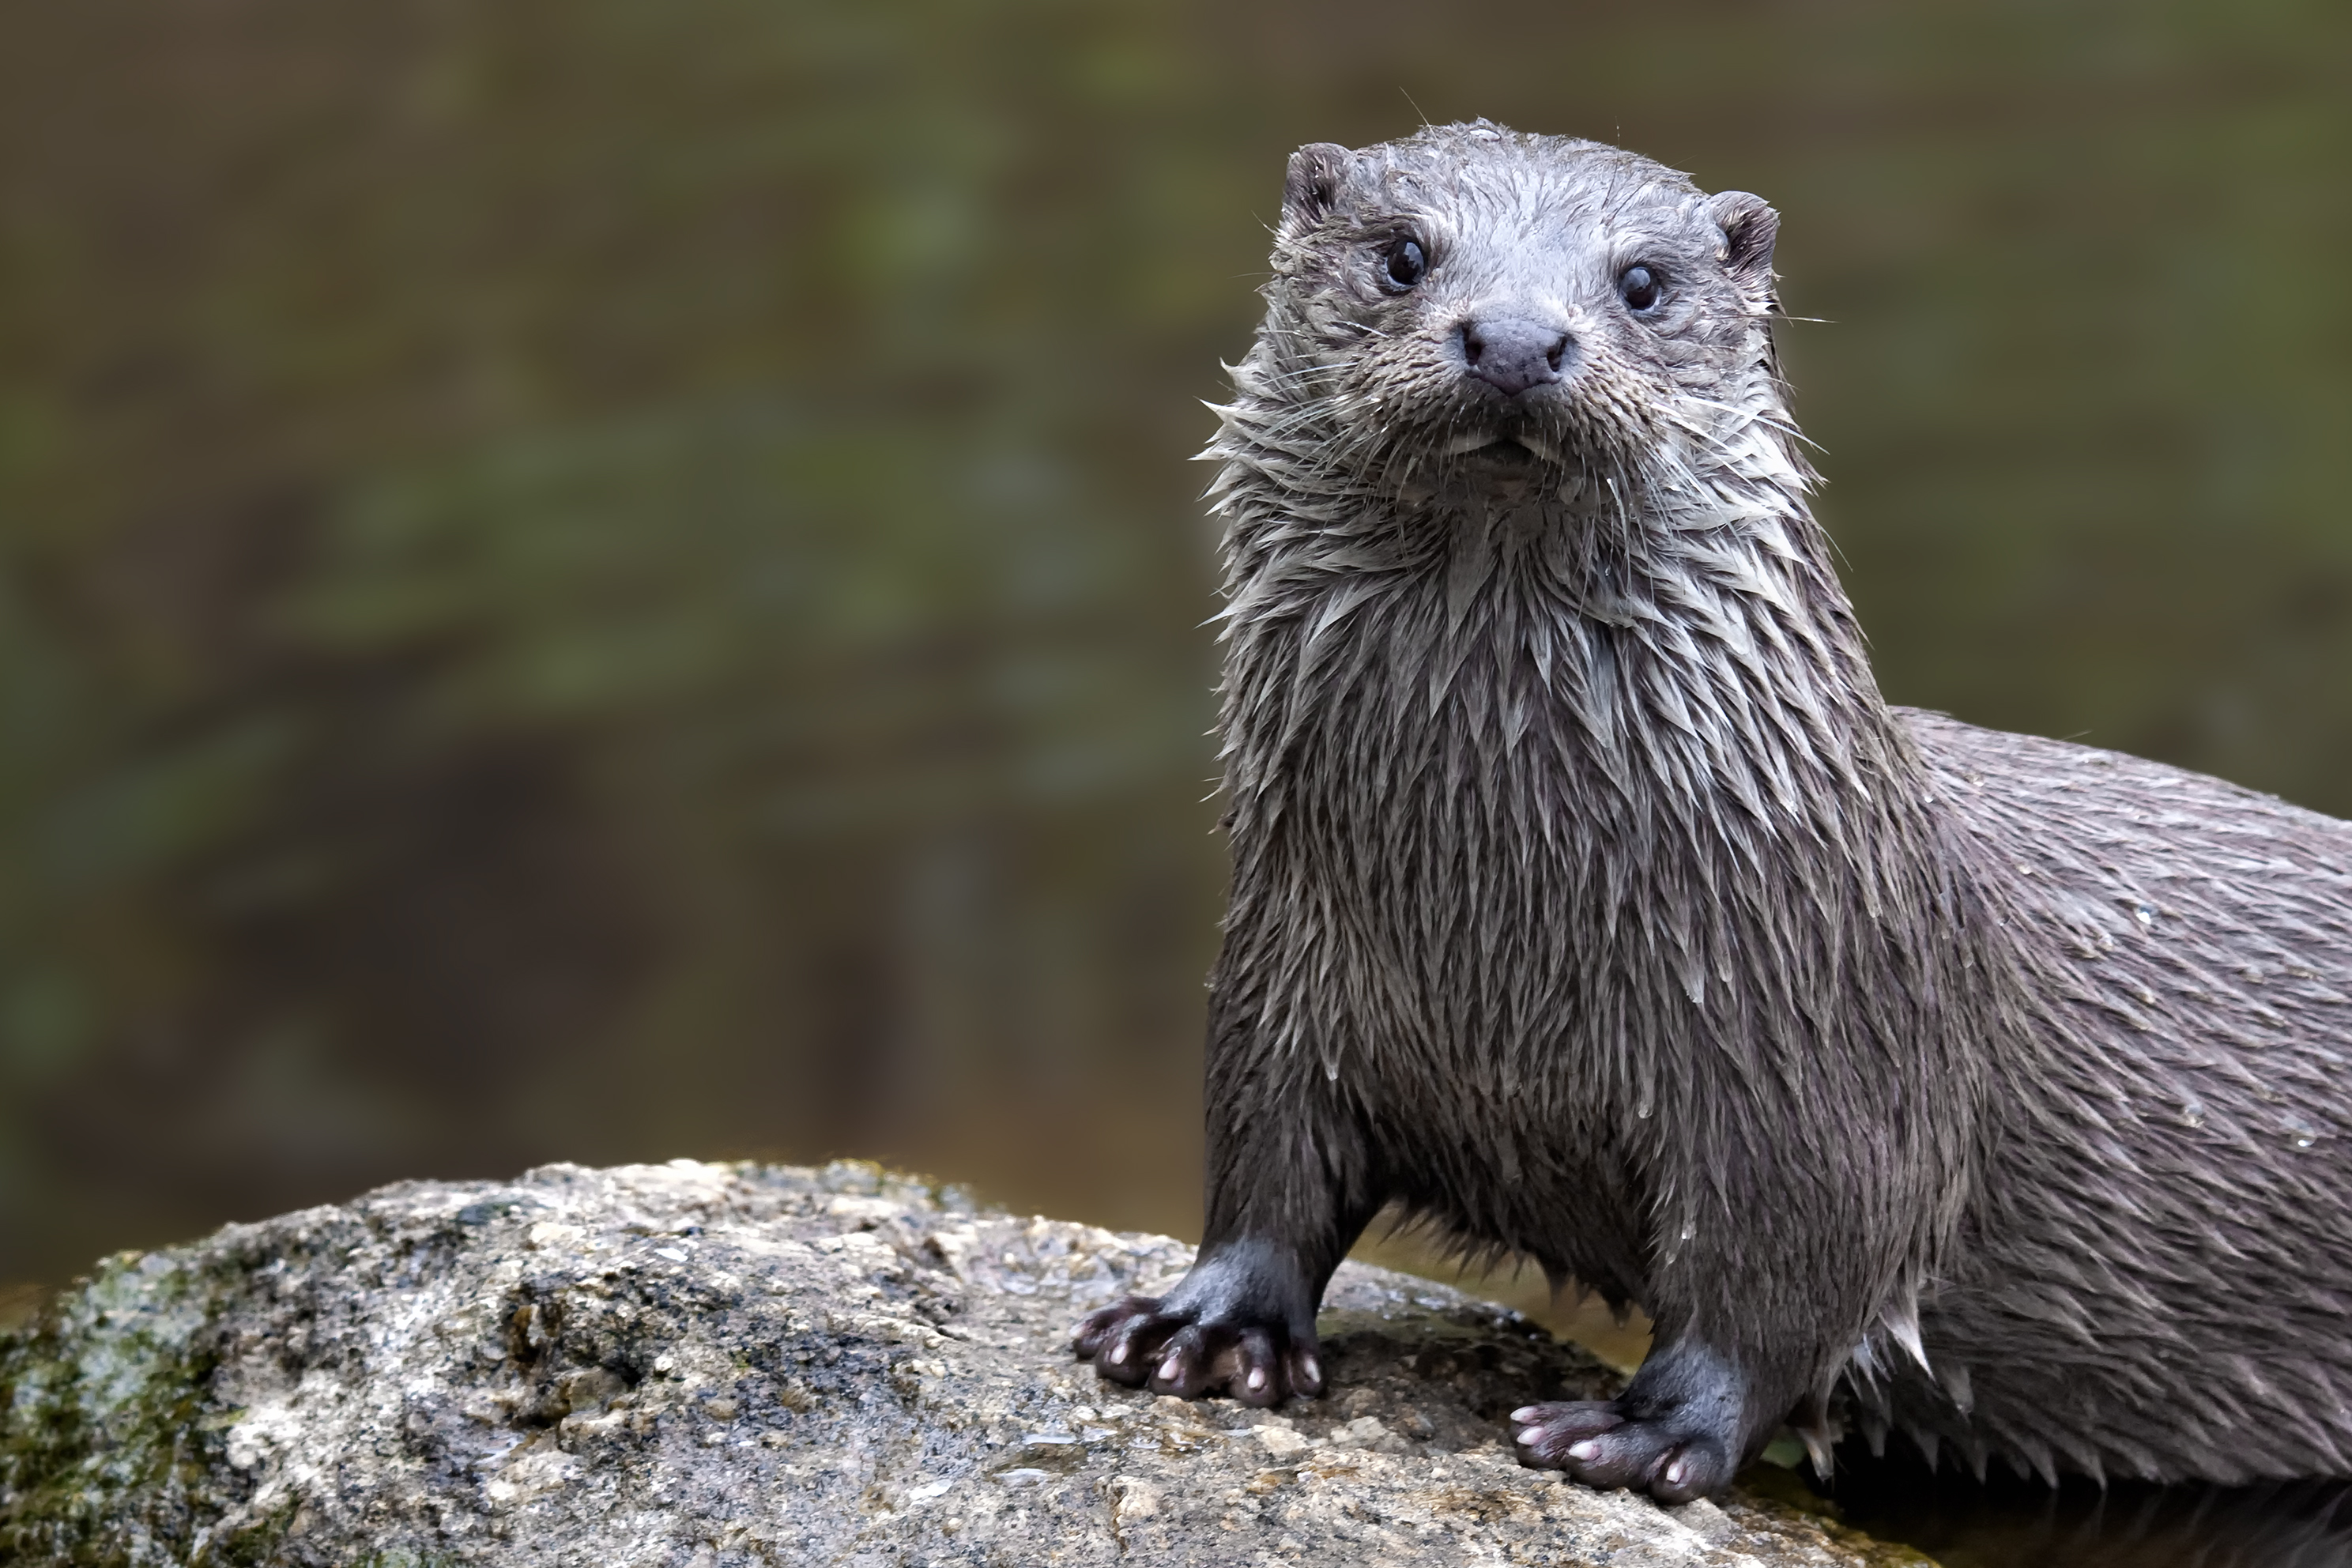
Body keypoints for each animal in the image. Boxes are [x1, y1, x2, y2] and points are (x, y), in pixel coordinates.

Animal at [1077, 126, 2352, 1504]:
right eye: (1402, 254)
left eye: (1642, 281)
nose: (1516, 339)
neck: (1504, 932)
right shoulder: (1287, 966)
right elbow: (1268, 1166)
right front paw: (1210, 1322)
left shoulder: (1826, 1056)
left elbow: (1784, 1281)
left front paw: (1647, 1431)